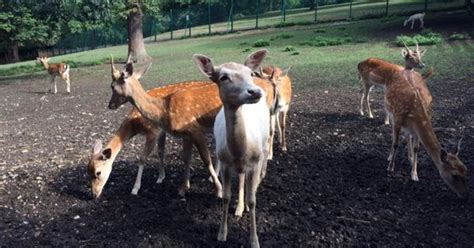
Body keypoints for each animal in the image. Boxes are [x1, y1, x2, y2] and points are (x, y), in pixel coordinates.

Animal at [193, 49, 270, 248]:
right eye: (223, 77)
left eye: (250, 73)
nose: (254, 91)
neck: (240, 151)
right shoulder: (225, 163)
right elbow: (226, 197)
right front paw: (222, 234)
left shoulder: (255, 161)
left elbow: (253, 200)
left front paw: (254, 241)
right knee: (241, 178)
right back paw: (239, 208)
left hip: (266, 143)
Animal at [386, 68, 470, 200]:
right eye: (454, 175)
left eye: (466, 170)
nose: (466, 195)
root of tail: (405, 69)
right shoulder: (397, 119)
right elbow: (395, 144)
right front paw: (390, 168)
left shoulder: (416, 128)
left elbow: (416, 148)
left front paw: (414, 174)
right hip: (389, 111)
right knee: (394, 137)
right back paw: (390, 157)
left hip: (408, 127)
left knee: (407, 136)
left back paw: (410, 158)